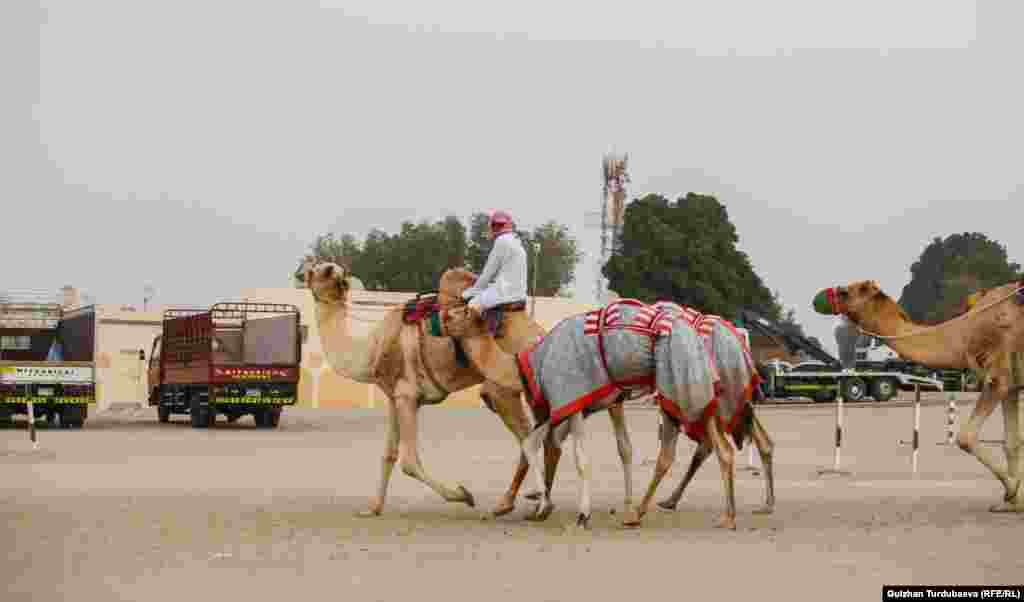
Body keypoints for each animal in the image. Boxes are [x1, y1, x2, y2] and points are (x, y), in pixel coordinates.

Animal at [305, 260, 552, 518]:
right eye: (322, 270)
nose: (335, 270)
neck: (372, 349)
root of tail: (540, 334)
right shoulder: (395, 396)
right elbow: (389, 454)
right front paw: (373, 508)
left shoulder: (408, 395)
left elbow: (409, 462)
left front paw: (463, 494)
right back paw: (522, 502)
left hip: (502, 390)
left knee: (527, 437)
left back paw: (520, 502)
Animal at [440, 298, 770, 528]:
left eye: (462, 312)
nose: (442, 317)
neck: (526, 363)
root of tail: (738, 343)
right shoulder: (593, 403)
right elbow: (614, 448)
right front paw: (539, 505)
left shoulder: (570, 398)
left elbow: (572, 455)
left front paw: (576, 512)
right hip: (709, 395)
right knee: (733, 445)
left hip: (685, 388)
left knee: (692, 451)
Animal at [815, 280, 1024, 509]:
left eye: (845, 292)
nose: (818, 299)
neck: (963, 336)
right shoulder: (1011, 386)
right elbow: (1012, 443)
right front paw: (1013, 503)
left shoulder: (998, 379)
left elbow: (965, 438)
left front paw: (1012, 491)